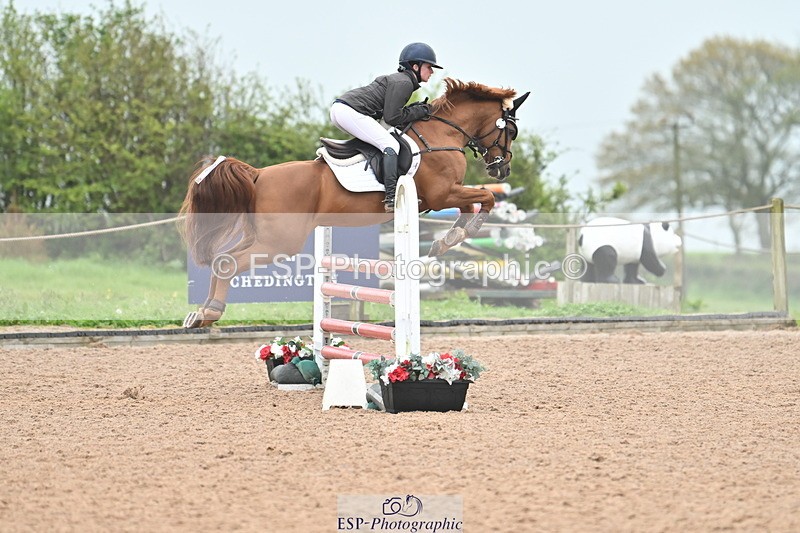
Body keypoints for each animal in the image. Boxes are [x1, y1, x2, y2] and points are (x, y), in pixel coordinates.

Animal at [180, 78, 530, 328]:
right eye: (511, 130)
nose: (502, 169)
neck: (441, 135)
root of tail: (257, 175)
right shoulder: (442, 193)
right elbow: (484, 198)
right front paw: (457, 235)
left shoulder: (444, 195)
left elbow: (471, 205)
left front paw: (446, 240)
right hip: (280, 241)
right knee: (230, 262)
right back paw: (211, 313)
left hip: (263, 236)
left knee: (221, 259)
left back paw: (201, 314)